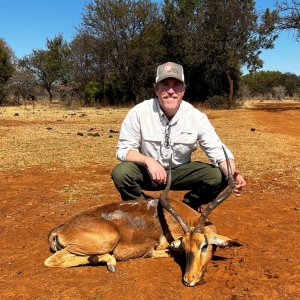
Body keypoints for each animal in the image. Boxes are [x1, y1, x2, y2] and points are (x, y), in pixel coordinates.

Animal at [44, 148, 241, 286]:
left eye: (204, 246)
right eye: (185, 246)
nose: (189, 280)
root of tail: (61, 229)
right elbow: (158, 251)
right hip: (104, 240)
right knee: (53, 260)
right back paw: (110, 261)